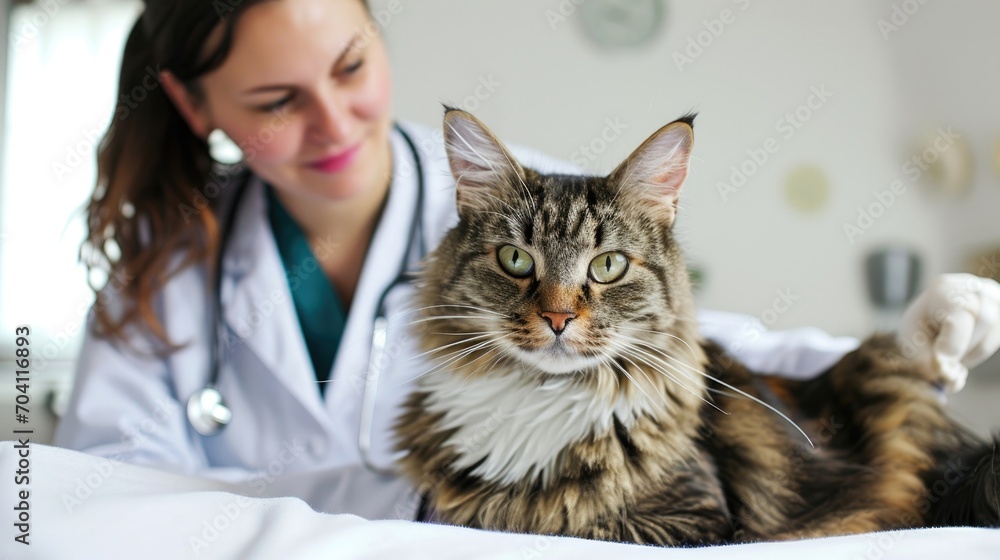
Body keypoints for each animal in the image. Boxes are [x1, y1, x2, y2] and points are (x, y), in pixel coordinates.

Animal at [392, 107, 1000, 544]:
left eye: (607, 265)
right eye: (516, 260)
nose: (558, 317)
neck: (541, 398)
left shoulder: (693, 520)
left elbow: (542, 519)